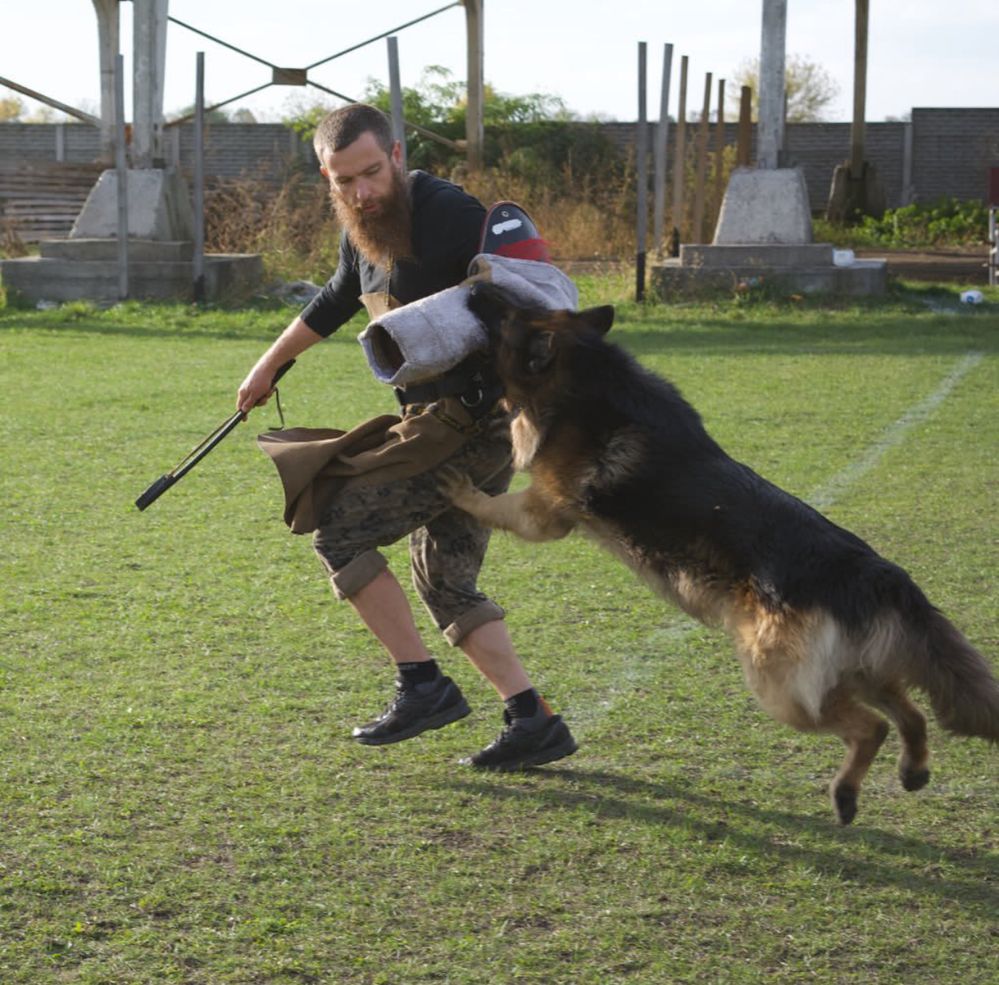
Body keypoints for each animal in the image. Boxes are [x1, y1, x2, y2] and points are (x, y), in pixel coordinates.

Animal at [446, 282, 999, 824]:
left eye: (504, 316)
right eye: (517, 304)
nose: (474, 284)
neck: (588, 373)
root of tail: (879, 576)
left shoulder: (542, 512)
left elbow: (491, 503)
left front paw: (457, 488)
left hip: (780, 687)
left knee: (871, 728)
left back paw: (845, 796)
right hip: (856, 672)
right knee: (911, 711)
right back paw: (913, 771)